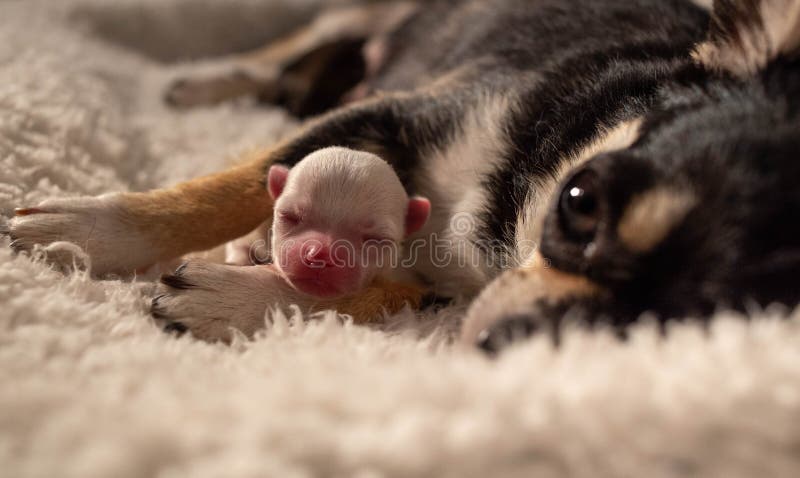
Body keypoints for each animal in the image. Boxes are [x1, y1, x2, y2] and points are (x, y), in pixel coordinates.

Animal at [7, 0, 800, 352]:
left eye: (679, 327)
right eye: (580, 202)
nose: (509, 342)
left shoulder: (444, 287)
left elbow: (369, 292)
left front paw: (234, 300)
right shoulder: (401, 113)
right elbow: (231, 186)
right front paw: (96, 232)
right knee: (308, 35)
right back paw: (202, 82)